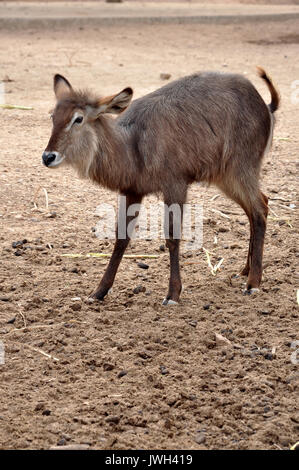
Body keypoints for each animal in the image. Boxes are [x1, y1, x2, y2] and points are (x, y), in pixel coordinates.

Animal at [42, 69, 282, 304]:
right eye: (53, 116)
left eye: (78, 118)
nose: (48, 157)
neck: (133, 145)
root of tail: (264, 105)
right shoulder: (132, 191)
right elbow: (121, 238)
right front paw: (98, 292)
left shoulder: (175, 185)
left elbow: (173, 236)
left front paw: (173, 294)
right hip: (225, 177)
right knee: (259, 206)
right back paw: (244, 271)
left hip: (240, 170)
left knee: (259, 210)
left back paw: (253, 283)